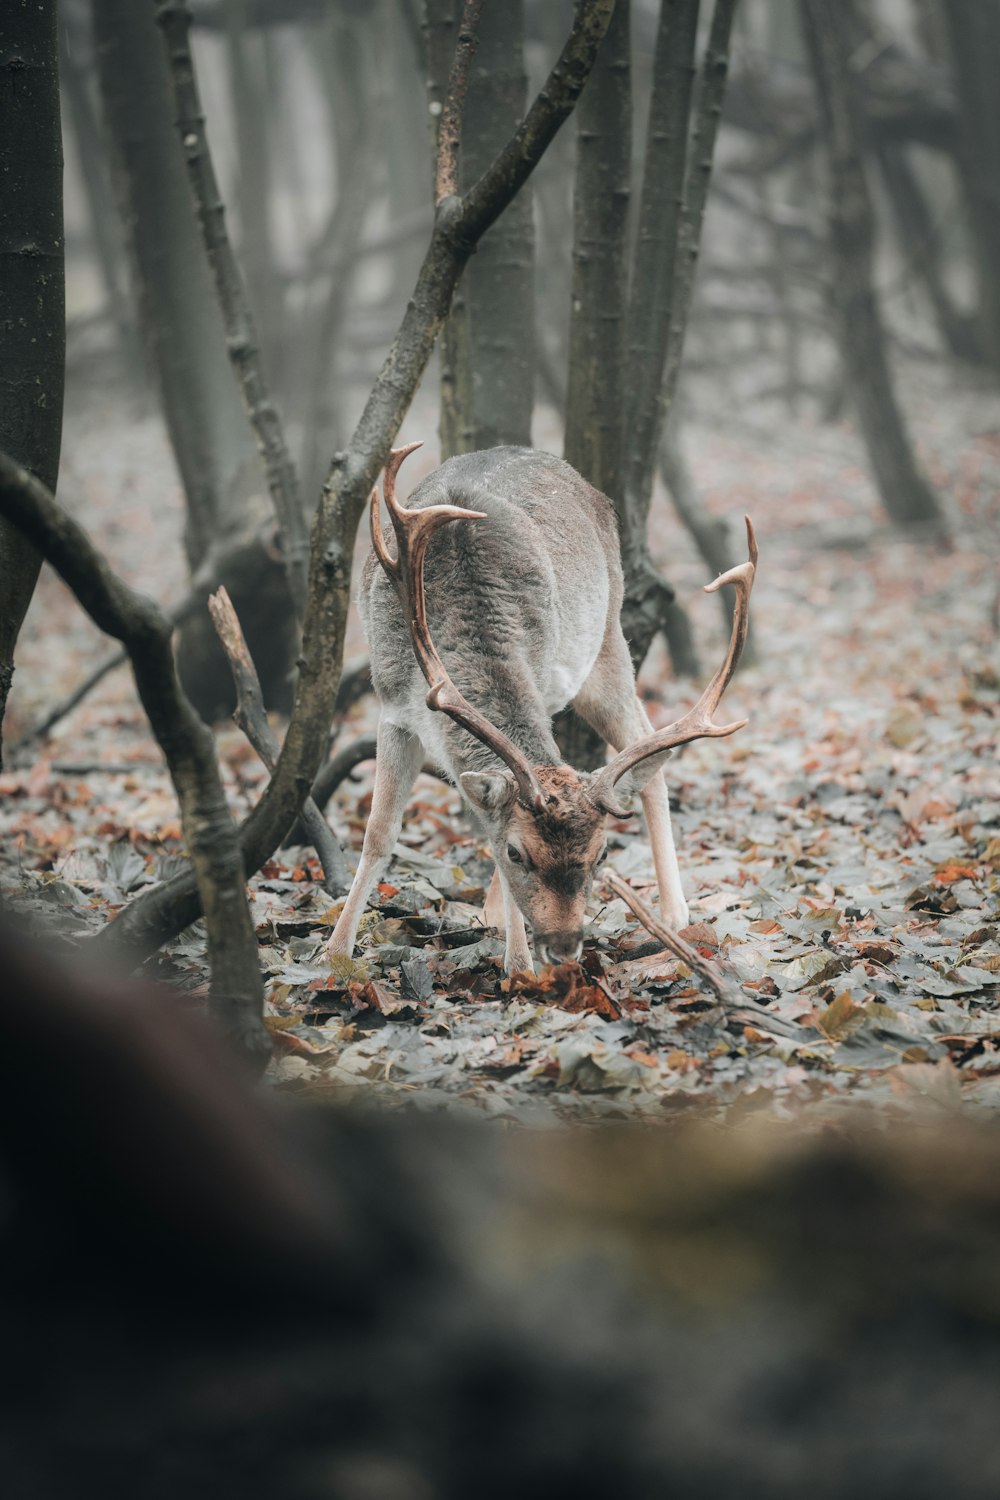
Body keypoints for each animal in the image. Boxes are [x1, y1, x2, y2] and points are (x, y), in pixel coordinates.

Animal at [328, 441, 758, 972]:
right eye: (517, 853)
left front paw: (518, 968)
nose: (565, 946)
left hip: (606, 644)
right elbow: (379, 834)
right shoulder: (392, 706)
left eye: (602, 854)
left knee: (647, 745)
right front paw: (335, 956)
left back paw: (676, 915)